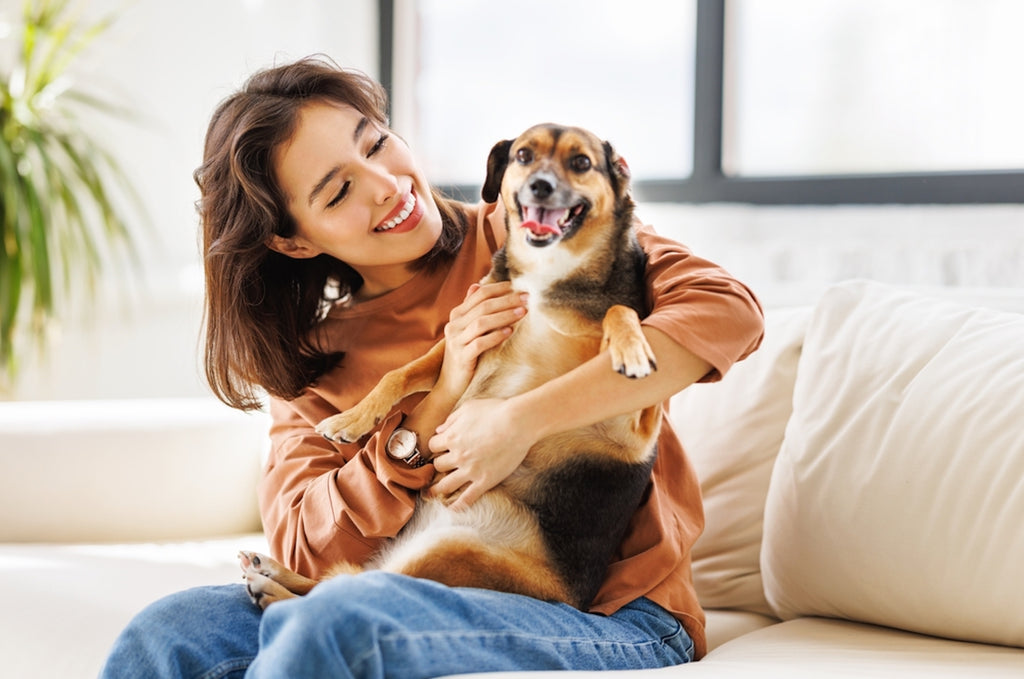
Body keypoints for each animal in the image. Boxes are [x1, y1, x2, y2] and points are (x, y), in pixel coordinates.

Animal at [242, 124, 663, 614]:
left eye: (581, 163)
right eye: (524, 155)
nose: (540, 186)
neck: (546, 275)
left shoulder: (631, 428)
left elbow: (619, 310)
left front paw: (632, 348)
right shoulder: (462, 337)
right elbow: (400, 374)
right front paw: (351, 420)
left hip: (451, 553)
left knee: (345, 587)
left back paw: (272, 588)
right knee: (340, 580)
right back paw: (272, 576)